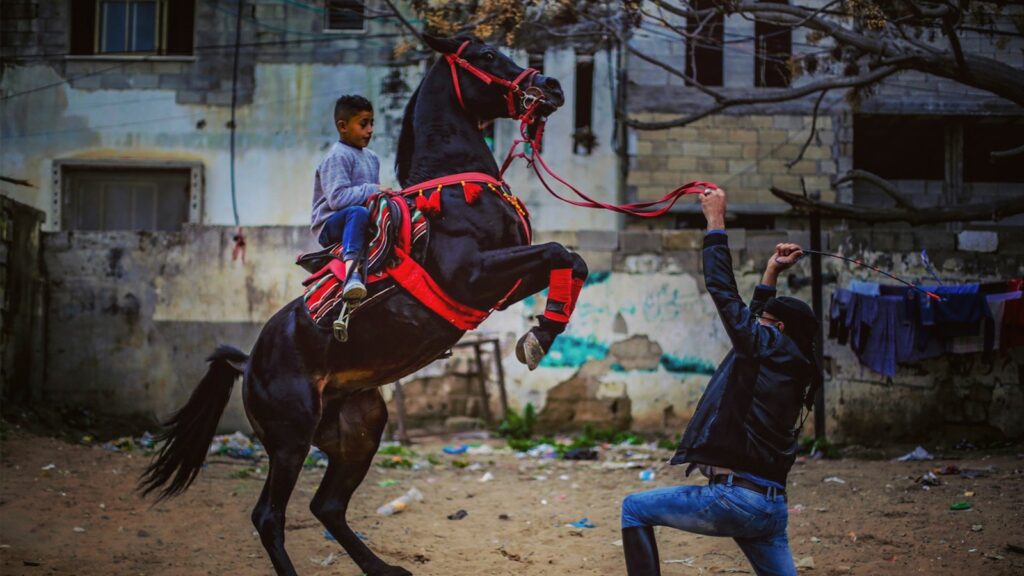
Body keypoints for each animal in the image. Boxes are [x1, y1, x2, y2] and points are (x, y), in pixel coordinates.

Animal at [138, 34, 589, 576]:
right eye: (484, 56)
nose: (553, 86)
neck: (453, 190)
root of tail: (248, 364)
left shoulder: (503, 284)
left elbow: (573, 260)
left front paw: (542, 332)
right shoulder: (473, 276)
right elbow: (560, 252)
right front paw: (538, 337)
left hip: (360, 430)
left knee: (327, 505)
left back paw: (384, 568)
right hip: (290, 440)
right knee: (270, 515)